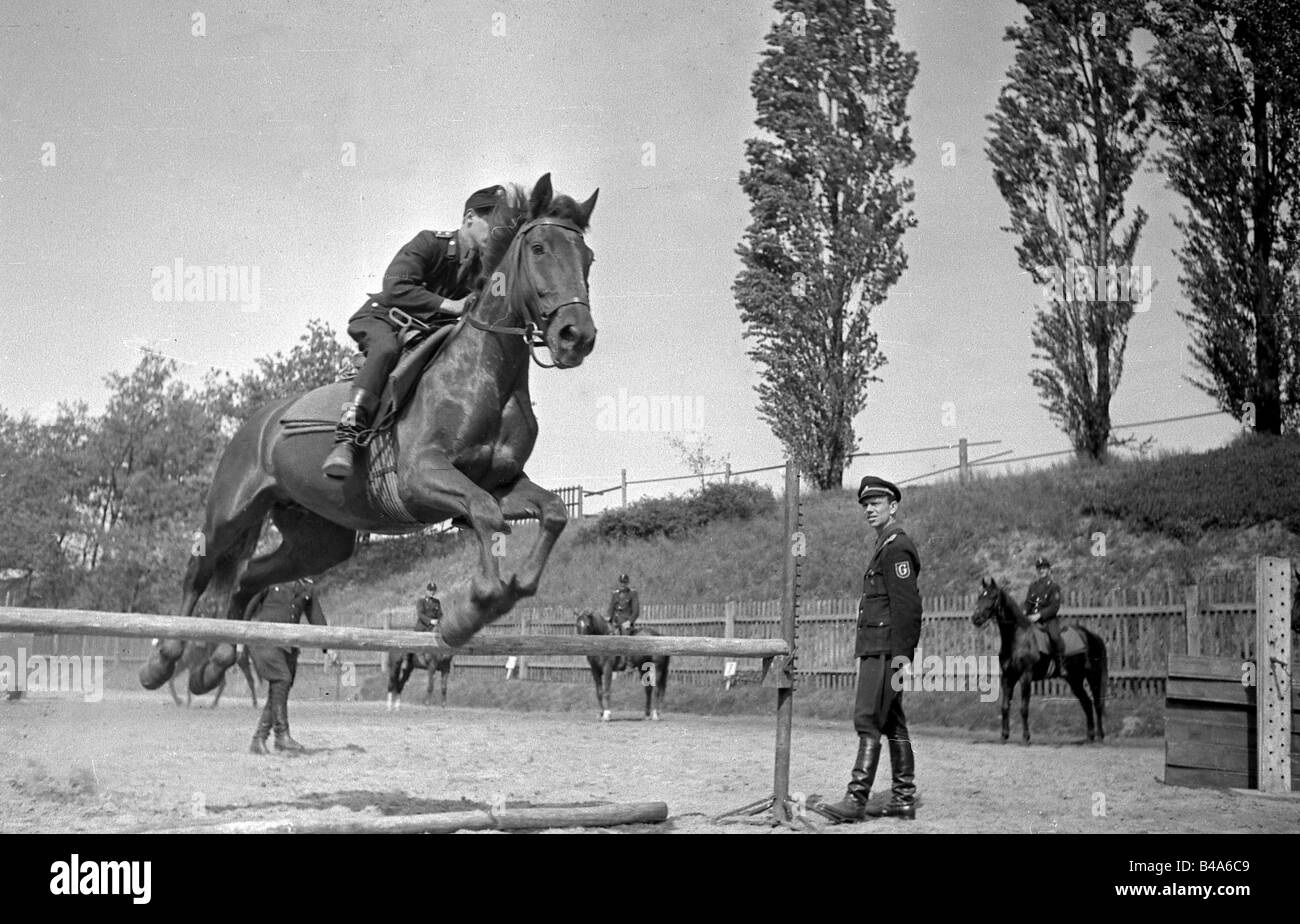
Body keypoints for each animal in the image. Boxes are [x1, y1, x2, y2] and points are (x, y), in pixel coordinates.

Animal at [138, 174, 598, 696]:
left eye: (588, 258)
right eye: (538, 248)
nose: (576, 337)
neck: (488, 373)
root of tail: (259, 421)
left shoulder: (503, 484)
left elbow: (553, 512)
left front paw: (508, 593)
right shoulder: (422, 477)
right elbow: (485, 514)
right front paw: (476, 606)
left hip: (319, 540)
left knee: (247, 578)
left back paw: (216, 661)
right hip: (230, 511)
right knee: (198, 572)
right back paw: (163, 660)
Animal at [977, 577, 1107, 743]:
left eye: (993, 596)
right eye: (980, 596)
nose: (975, 618)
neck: (1018, 638)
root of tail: (1091, 636)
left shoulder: (1025, 677)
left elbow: (1024, 708)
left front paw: (1026, 737)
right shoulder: (1007, 677)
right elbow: (1005, 706)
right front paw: (1004, 736)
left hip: (1093, 676)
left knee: (1097, 703)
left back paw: (1100, 736)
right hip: (1075, 680)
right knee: (1087, 703)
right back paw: (1090, 736)